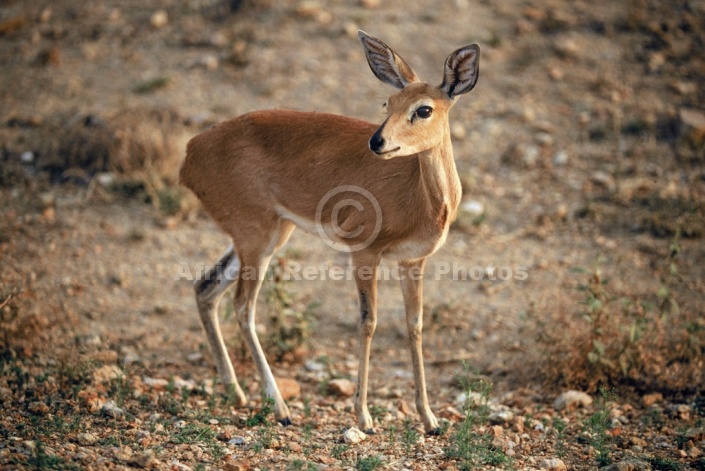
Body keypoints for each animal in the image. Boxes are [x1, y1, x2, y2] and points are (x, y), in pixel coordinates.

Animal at [179, 30, 482, 436]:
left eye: (423, 109)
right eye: (387, 102)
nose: (377, 142)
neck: (420, 196)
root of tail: (191, 152)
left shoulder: (413, 262)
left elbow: (415, 325)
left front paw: (429, 419)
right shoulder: (364, 254)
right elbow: (368, 322)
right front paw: (364, 417)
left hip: (268, 236)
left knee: (206, 288)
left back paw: (237, 393)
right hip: (257, 239)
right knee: (243, 306)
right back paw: (280, 408)